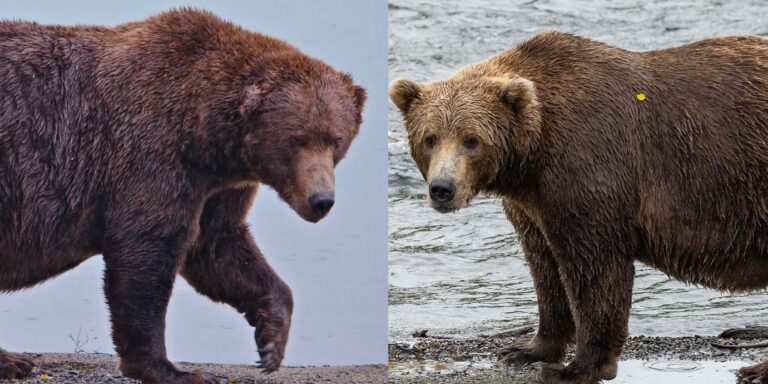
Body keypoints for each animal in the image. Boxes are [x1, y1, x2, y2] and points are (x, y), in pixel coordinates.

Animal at [0, 6, 368, 384]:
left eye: (335, 139)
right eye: (297, 138)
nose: (321, 200)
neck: (203, 132)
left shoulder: (218, 187)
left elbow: (219, 246)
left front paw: (270, 341)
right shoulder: (150, 153)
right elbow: (146, 250)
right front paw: (171, 369)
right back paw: (13, 360)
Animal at [392, 32, 768, 384]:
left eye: (472, 139)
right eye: (430, 138)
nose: (443, 189)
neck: (531, 157)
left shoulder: (589, 167)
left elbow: (595, 269)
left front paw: (577, 367)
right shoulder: (532, 204)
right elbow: (544, 267)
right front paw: (526, 348)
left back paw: (755, 369)